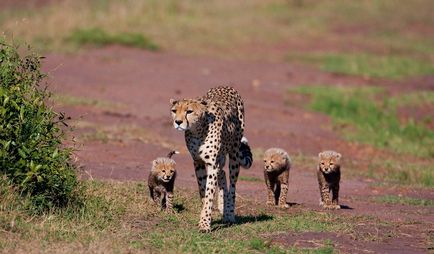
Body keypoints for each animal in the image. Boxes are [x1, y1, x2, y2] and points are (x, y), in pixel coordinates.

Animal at [169, 87, 251, 232]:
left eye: (189, 111)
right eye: (174, 111)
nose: (178, 122)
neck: (197, 131)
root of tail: (226, 86)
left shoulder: (212, 164)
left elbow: (209, 192)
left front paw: (204, 224)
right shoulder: (198, 162)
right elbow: (203, 190)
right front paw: (205, 215)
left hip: (234, 154)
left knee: (233, 185)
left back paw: (229, 214)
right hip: (221, 157)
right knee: (222, 173)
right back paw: (223, 207)